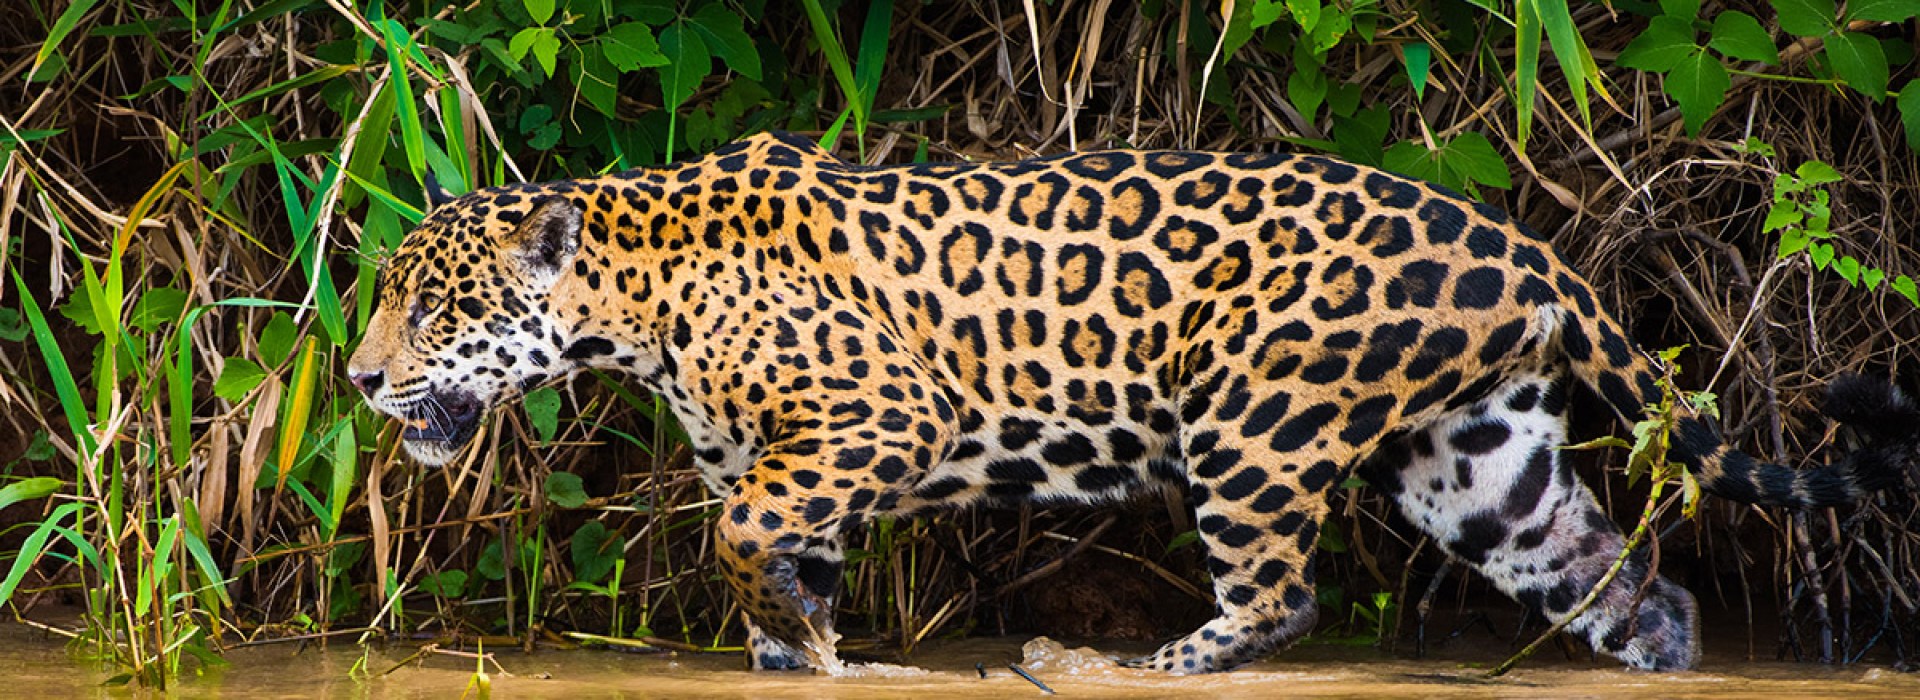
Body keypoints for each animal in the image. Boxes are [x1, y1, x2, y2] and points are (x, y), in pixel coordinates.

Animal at [347, 130, 1916, 674]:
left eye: (432, 307)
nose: (359, 378)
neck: (633, 295)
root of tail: (1521, 242)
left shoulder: (878, 422)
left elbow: (735, 534)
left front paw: (793, 630)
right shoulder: (794, 461)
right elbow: (773, 551)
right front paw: (798, 643)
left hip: (1252, 415)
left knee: (1286, 594)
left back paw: (1153, 661)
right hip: (1476, 459)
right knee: (1622, 579)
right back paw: (1659, 652)